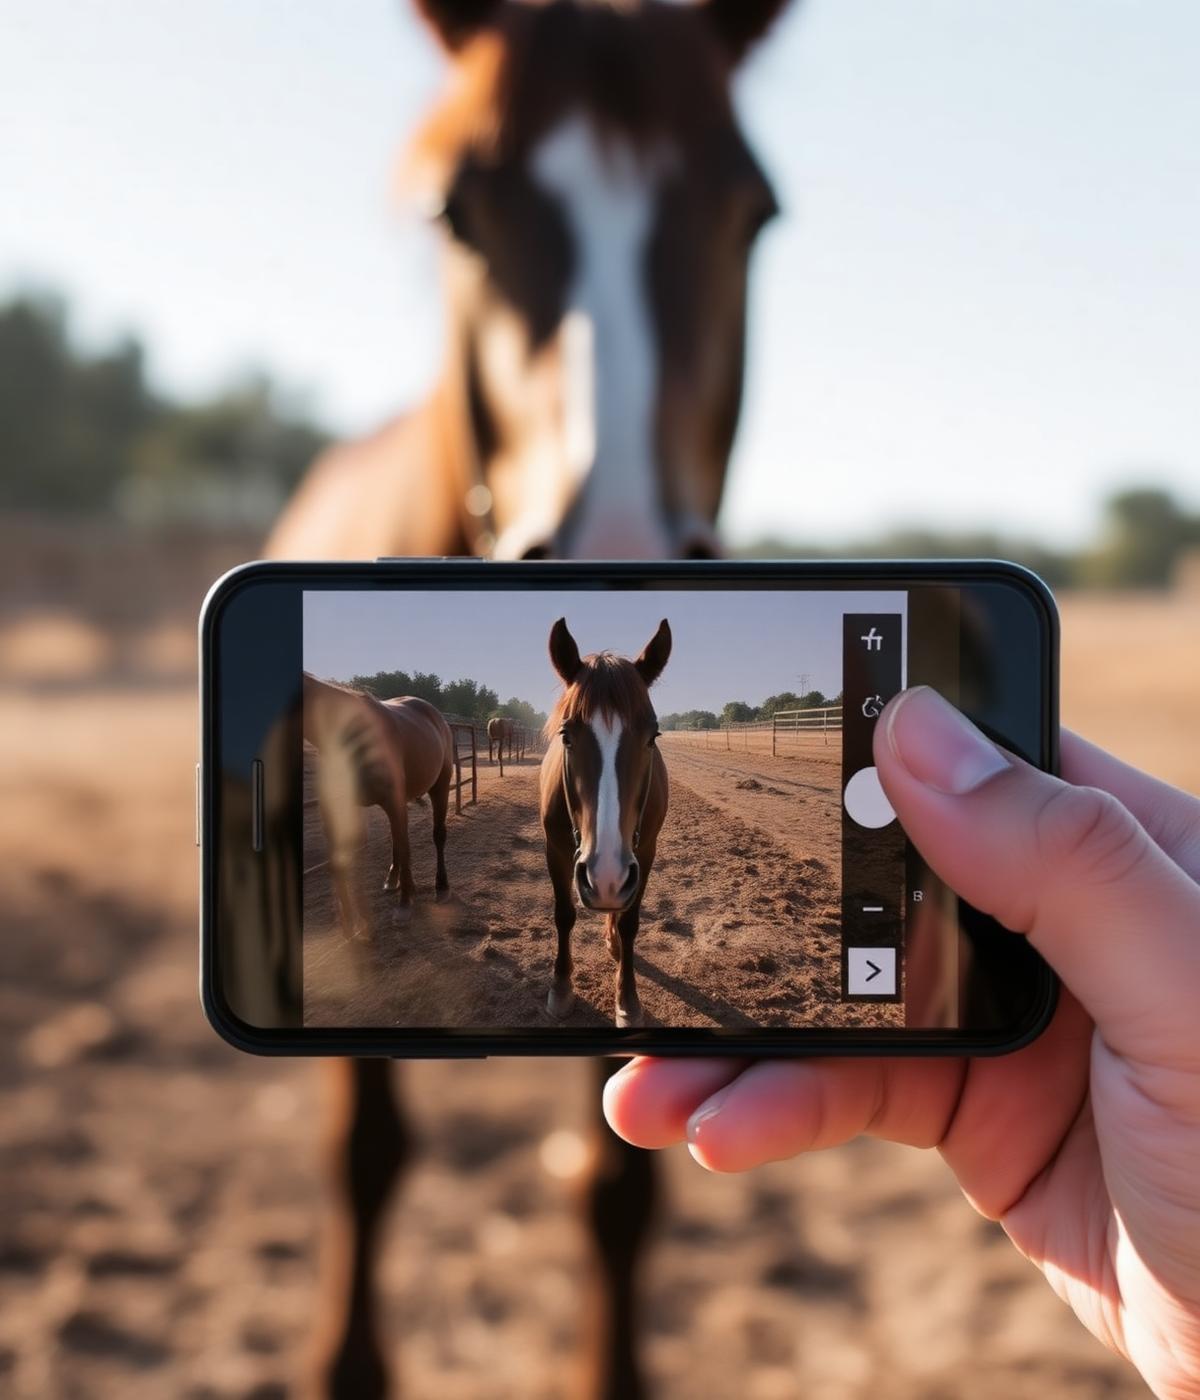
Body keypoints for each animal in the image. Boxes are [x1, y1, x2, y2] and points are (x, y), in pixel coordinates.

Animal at [303, 673, 455, 930]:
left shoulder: (393, 801)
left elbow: (405, 847)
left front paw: (404, 904)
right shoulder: (336, 809)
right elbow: (340, 859)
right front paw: (350, 924)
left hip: (439, 786)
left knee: (437, 835)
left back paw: (441, 887)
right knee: (397, 838)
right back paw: (392, 879)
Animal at [540, 618, 670, 1028]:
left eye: (652, 736)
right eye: (566, 736)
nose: (606, 876)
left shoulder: (644, 852)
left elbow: (630, 923)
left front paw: (627, 1000)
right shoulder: (557, 849)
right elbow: (563, 914)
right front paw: (561, 988)